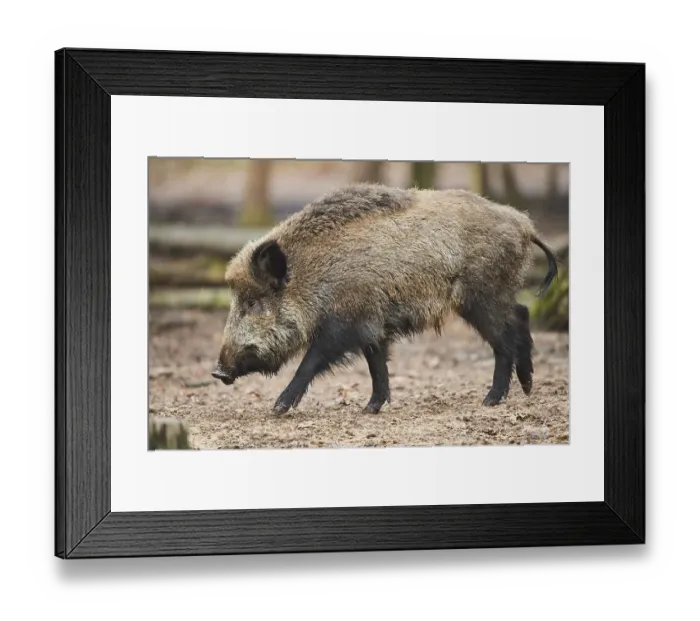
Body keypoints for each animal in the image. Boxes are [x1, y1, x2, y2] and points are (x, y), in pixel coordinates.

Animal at [212, 183, 558, 414]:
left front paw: (278, 407)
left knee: (504, 338)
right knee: (522, 312)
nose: (218, 372)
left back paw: (491, 400)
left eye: (252, 302)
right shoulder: (371, 325)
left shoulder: (345, 323)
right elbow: (376, 364)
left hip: (481, 297)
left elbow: (310, 362)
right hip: (494, 294)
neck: (314, 276)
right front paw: (371, 408)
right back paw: (526, 387)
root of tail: (524, 224)